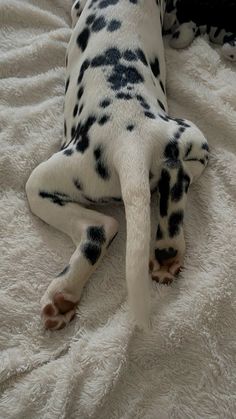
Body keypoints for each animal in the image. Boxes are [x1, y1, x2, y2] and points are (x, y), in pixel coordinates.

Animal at [26, 0, 208, 332]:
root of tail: (130, 142)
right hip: (192, 138)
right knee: (178, 177)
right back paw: (167, 249)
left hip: (46, 180)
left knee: (99, 228)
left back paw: (62, 294)